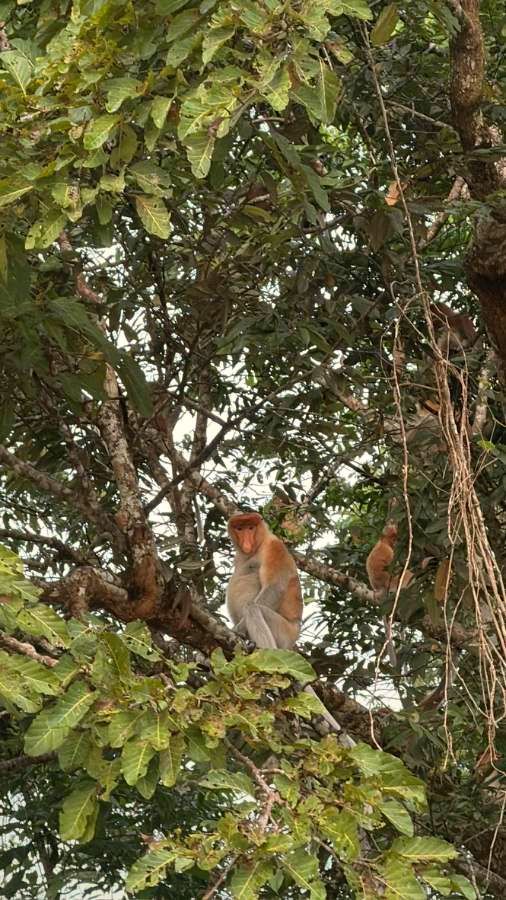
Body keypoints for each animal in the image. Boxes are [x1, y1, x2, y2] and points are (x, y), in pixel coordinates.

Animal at [227, 512, 355, 746]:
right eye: (239, 528)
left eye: (251, 527)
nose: (246, 541)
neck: (257, 546)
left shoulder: (274, 547)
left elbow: (274, 587)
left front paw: (236, 631)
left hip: (282, 630)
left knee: (253, 610)